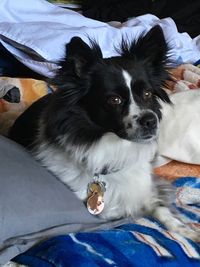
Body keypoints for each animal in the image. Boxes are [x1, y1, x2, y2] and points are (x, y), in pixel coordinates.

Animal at [9, 25, 198, 243]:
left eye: (148, 94)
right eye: (114, 100)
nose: (151, 120)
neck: (114, 147)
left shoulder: (146, 187)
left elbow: (161, 208)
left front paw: (186, 230)